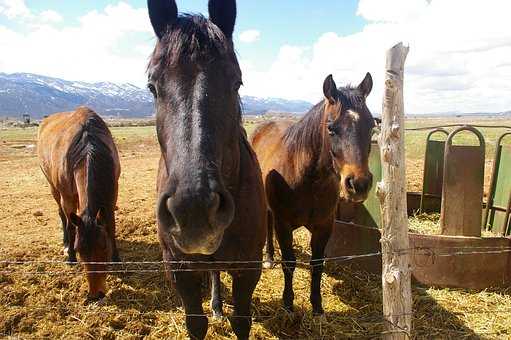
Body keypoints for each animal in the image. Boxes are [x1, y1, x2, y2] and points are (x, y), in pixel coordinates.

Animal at [37, 106, 121, 300]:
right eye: (80, 250)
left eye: (104, 247)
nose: (96, 294)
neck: (88, 148)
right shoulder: (67, 197)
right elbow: (70, 225)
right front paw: (71, 256)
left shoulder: (112, 194)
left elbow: (111, 226)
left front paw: (117, 259)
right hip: (54, 189)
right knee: (62, 216)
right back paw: (65, 243)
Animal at [147, 1, 268, 338]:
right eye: (152, 87)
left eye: (236, 82)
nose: (193, 210)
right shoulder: (181, 270)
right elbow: (195, 324)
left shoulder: (248, 268)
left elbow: (242, 321)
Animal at [252, 74, 376, 316]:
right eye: (331, 128)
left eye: (372, 126)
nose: (359, 184)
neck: (307, 180)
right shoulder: (283, 224)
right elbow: (289, 263)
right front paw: (288, 303)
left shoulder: (324, 226)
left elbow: (317, 264)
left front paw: (317, 306)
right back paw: (269, 258)